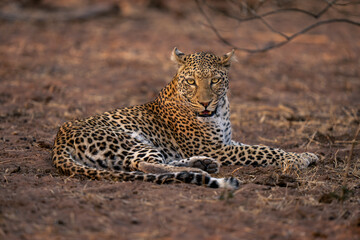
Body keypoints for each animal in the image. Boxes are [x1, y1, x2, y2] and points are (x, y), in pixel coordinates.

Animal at [52, 47, 318, 188]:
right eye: (191, 81)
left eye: (215, 80)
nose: (205, 102)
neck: (220, 110)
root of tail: (58, 140)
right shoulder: (216, 147)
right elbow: (263, 150)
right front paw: (298, 159)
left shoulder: (225, 143)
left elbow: (262, 146)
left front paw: (306, 154)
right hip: (129, 140)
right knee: (144, 165)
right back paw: (200, 173)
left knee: (159, 162)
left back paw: (202, 165)